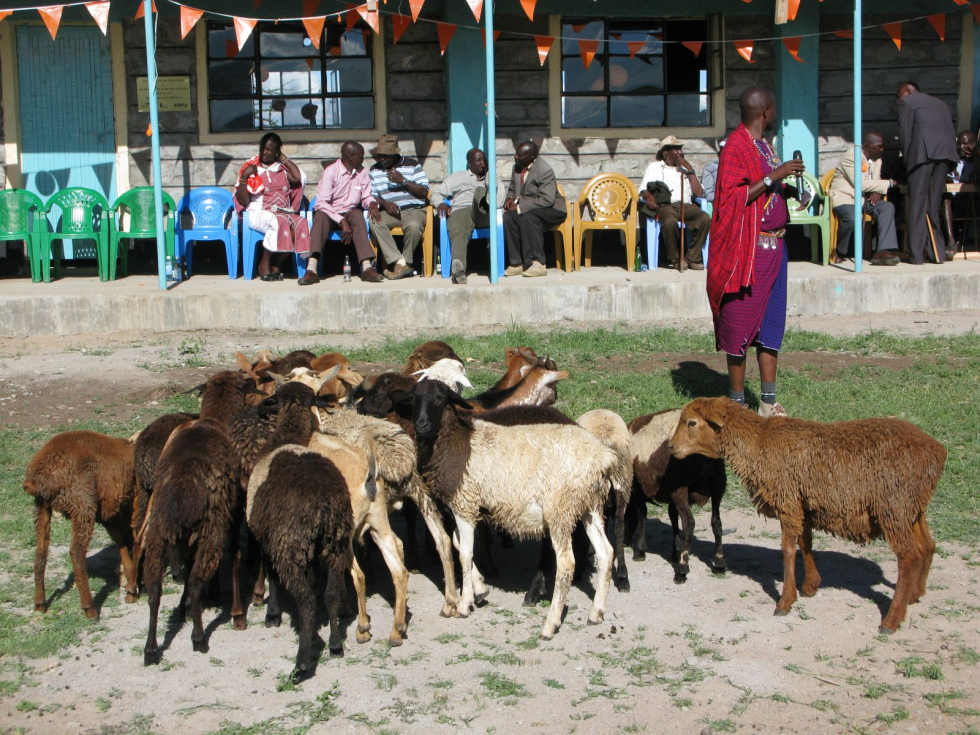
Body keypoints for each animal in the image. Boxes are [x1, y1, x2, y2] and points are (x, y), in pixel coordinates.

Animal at [24, 432, 138, 620]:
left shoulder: (107, 512)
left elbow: (120, 539)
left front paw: (129, 582)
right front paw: (132, 588)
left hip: (42, 507)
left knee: (41, 552)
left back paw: (40, 604)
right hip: (82, 505)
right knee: (76, 553)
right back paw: (90, 609)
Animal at [142, 370, 258, 664]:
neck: (215, 419)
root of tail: (181, 490)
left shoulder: (184, 536)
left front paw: (188, 603)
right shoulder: (232, 512)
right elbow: (233, 556)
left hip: (160, 530)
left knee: (154, 588)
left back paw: (150, 649)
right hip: (211, 527)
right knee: (195, 580)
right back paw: (199, 638)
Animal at [410, 380, 616, 640]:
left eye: (440, 398)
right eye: (413, 398)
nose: (421, 425)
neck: (455, 439)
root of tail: (602, 457)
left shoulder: (464, 503)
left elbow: (465, 552)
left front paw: (464, 604)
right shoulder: (467, 507)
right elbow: (458, 543)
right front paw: (479, 589)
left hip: (560, 508)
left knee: (567, 562)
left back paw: (550, 624)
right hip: (590, 505)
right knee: (605, 552)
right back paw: (596, 613)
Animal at [628, 412, 728, 584]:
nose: (625, 541)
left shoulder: (638, 488)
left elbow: (641, 514)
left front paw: (640, 551)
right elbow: (672, 516)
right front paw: (676, 550)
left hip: (681, 484)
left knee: (689, 522)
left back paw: (682, 570)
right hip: (718, 481)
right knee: (716, 521)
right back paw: (720, 564)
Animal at [668, 400, 944, 636]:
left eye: (691, 422)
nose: (670, 447)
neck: (758, 443)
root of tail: (937, 451)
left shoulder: (788, 500)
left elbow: (788, 551)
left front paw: (785, 601)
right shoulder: (804, 503)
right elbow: (805, 543)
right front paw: (811, 585)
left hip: (894, 506)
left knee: (909, 556)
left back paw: (892, 620)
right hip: (912, 509)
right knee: (926, 546)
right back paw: (914, 595)